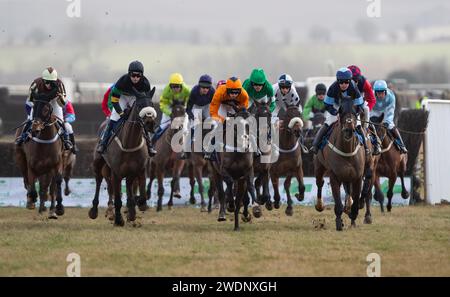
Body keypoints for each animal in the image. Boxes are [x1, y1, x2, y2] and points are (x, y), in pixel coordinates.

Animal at [89, 86, 156, 225]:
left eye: (152, 104)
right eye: (140, 105)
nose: (150, 123)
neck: (129, 143)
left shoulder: (140, 169)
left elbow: (141, 197)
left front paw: (133, 209)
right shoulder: (116, 172)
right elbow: (118, 198)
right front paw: (119, 219)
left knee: (128, 186)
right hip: (99, 163)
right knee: (99, 181)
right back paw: (94, 210)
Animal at [314, 97, 368, 231]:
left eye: (355, 111)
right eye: (341, 111)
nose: (349, 130)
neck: (347, 151)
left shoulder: (357, 177)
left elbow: (355, 200)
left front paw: (352, 215)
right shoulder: (334, 176)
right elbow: (337, 202)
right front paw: (339, 223)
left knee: (348, 190)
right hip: (319, 166)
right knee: (319, 183)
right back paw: (320, 205)